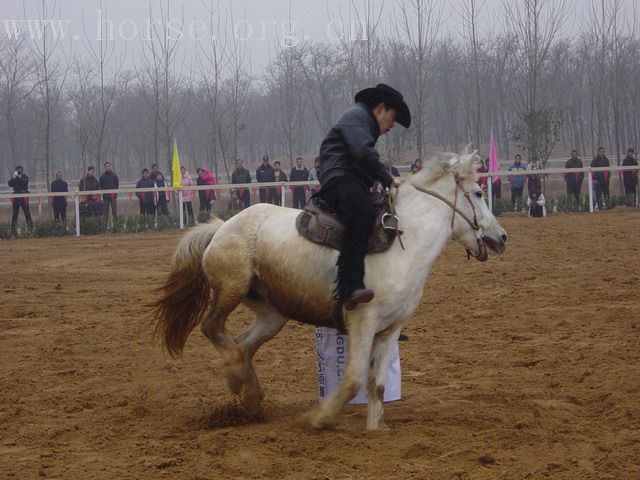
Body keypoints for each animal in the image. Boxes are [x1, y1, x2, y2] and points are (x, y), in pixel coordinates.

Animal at [152, 151, 508, 432]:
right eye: (478, 193)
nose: (502, 237)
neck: (406, 241)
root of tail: (220, 228)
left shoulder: (391, 328)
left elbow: (378, 384)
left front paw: (377, 428)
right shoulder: (363, 321)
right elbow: (353, 379)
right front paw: (318, 418)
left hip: (272, 314)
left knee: (242, 344)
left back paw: (246, 389)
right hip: (231, 289)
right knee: (212, 327)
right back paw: (243, 383)